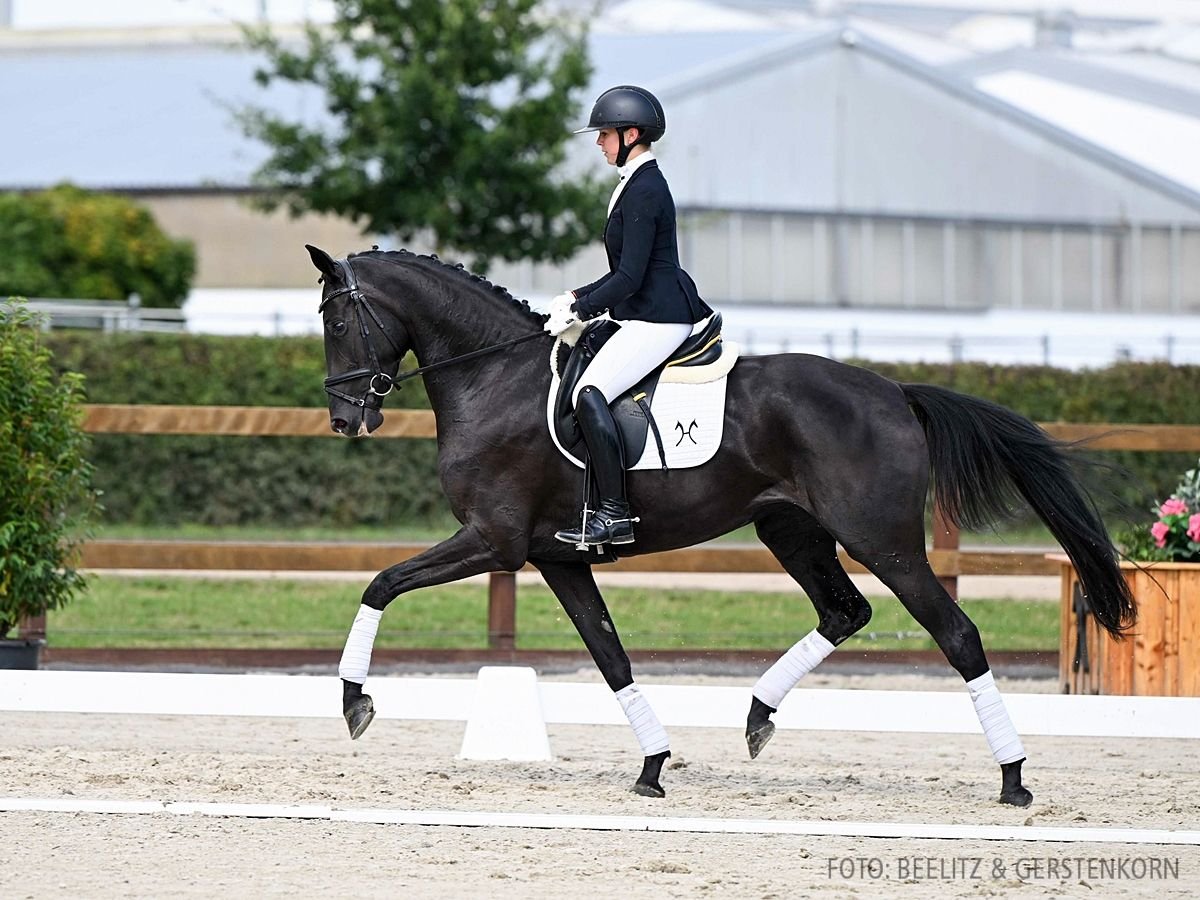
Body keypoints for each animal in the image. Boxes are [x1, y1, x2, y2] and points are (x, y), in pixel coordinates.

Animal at [307, 247, 1132, 811]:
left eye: (339, 321)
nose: (346, 418)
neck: (494, 380)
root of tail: (894, 391)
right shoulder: (556, 558)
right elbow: (610, 657)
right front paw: (651, 766)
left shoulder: (493, 541)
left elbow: (380, 583)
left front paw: (354, 704)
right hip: (791, 530)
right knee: (845, 611)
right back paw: (758, 715)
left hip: (884, 541)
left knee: (955, 633)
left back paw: (1013, 778)